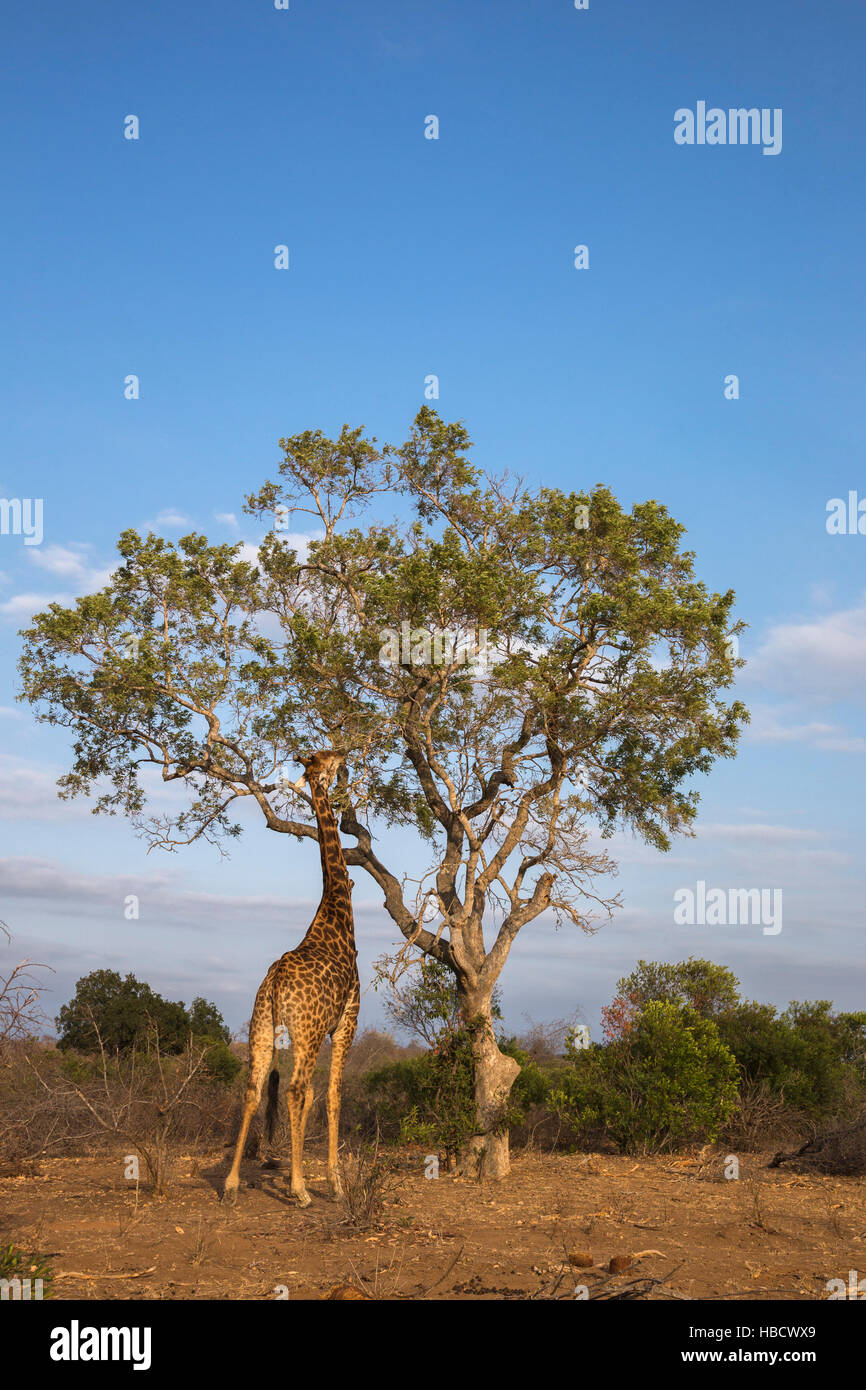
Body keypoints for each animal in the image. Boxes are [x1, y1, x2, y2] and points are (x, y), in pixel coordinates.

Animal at [223, 749, 360, 1208]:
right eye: (327, 759)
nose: (344, 754)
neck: (336, 915)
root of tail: (278, 980)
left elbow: (314, 1095)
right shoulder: (346, 1021)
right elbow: (332, 1094)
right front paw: (335, 1183)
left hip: (262, 1026)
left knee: (253, 1088)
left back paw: (230, 1185)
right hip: (307, 1030)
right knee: (297, 1089)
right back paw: (300, 1191)